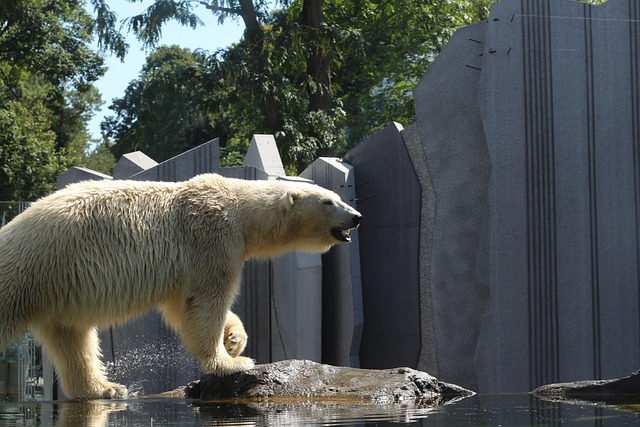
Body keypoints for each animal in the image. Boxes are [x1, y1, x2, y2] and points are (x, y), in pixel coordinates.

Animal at [0, 173, 361, 400]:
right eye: (329, 201)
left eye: (338, 197)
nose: (356, 216)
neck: (240, 209)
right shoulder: (212, 237)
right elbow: (206, 302)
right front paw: (233, 363)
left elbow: (182, 306)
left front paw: (234, 340)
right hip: (30, 270)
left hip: (55, 288)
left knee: (73, 339)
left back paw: (105, 388)